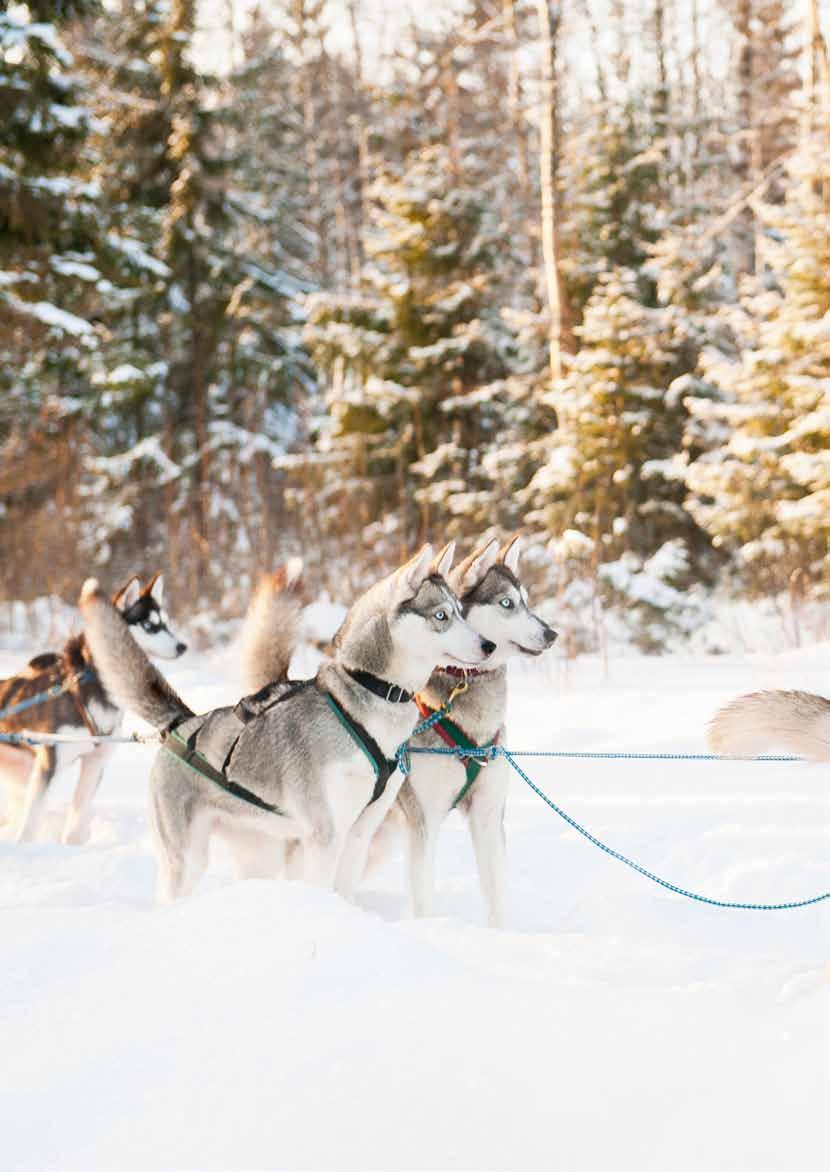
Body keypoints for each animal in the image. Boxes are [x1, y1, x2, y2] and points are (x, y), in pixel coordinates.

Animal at [0, 574, 185, 843]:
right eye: (149, 626)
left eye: (167, 624)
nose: (183, 646)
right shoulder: (49, 764)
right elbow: (31, 822)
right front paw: (25, 845)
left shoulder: (95, 763)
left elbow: (77, 816)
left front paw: (72, 845)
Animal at [77, 543, 492, 900]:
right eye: (441, 615)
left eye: (461, 611)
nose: (488, 645)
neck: (373, 694)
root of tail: (183, 724)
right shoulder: (326, 836)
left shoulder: (358, 835)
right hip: (187, 860)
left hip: (260, 853)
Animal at [391, 536, 558, 928]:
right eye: (506, 603)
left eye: (526, 600)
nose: (552, 634)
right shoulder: (423, 818)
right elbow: (422, 894)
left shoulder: (488, 814)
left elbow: (496, 890)